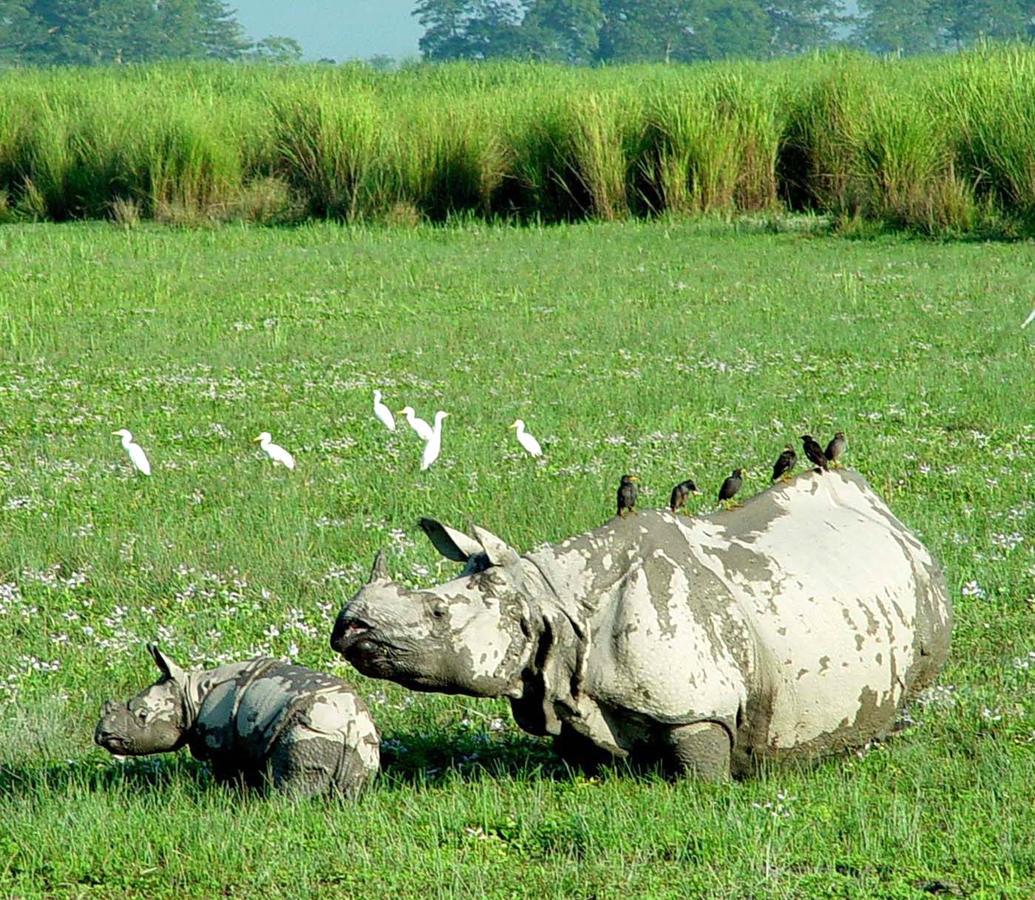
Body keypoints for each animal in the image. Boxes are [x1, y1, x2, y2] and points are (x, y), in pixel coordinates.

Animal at [96, 645, 380, 798]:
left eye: (142, 715)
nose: (102, 734)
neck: (190, 693)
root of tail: (351, 727)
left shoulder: (223, 741)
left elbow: (228, 774)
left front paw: (226, 796)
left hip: (311, 730)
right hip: (360, 745)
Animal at [333, 471, 952, 782]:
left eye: (438, 614)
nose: (348, 628)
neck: (548, 598)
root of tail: (883, 506)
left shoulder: (698, 700)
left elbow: (700, 763)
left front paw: (705, 790)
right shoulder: (562, 680)